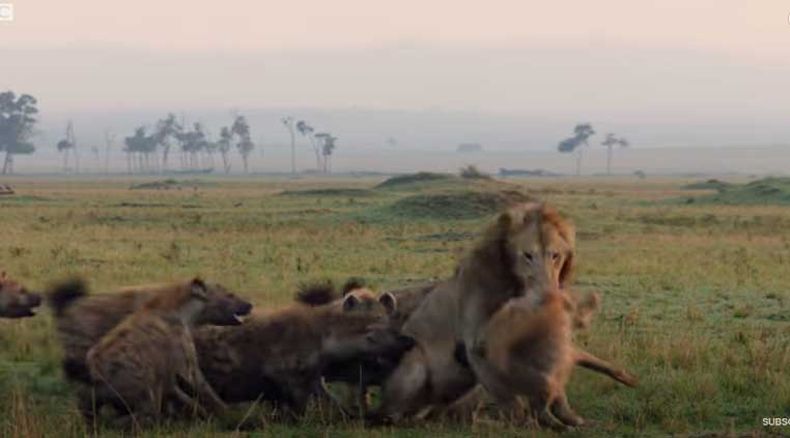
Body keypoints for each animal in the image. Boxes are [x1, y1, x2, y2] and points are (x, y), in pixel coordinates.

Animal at [84, 278, 228, 427]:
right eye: (227, 293)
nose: (242, 303)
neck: (182, 313)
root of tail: (96, 374)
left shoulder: (167, 369)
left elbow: (179, 390)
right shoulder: (181, 354)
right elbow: (200, 383)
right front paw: (224, 411)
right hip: (144, 380)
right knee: (147, 411)